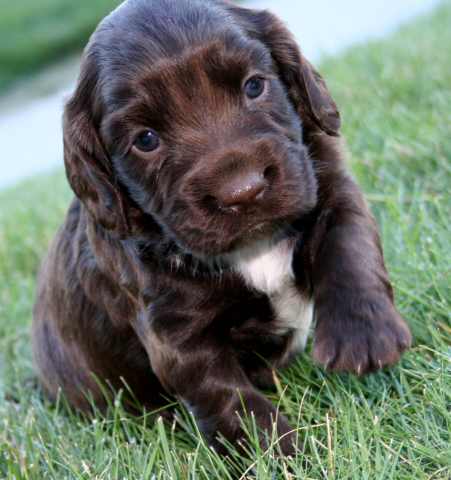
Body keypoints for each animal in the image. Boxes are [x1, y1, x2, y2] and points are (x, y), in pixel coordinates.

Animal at [31, 0, 414, 458]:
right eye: (145, 139)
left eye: (254, 86)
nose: (243, 191)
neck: (252, 248)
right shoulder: (178, 337)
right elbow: (230, 401)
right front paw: (281, 456)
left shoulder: (329, 187)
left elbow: (349, 244)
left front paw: (363, 334)